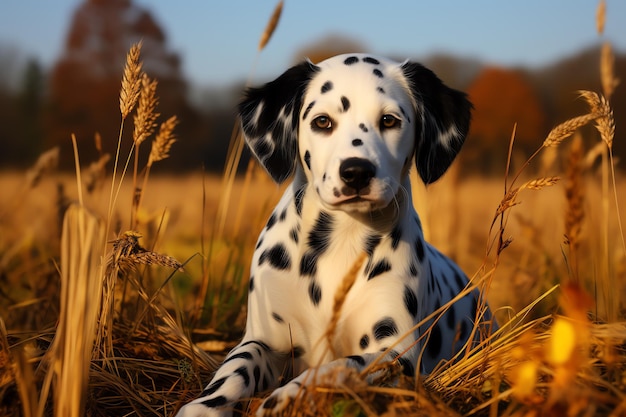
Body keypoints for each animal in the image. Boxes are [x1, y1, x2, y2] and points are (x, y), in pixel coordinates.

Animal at [176, 53, 492, 414]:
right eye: (323, 122)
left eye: (389, 120)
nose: (356, 172)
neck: (341, 242)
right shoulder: (264, 338)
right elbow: (235, 367)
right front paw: (204, 405)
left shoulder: (396, 354)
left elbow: (338, 367)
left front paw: (288, 396)